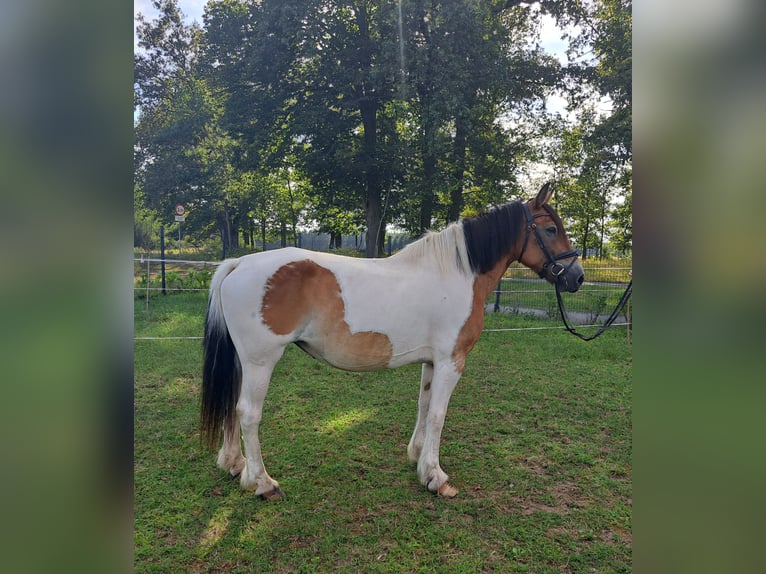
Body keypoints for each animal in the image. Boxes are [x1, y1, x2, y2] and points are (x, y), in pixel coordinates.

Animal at [201, 184, 584, 500]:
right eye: (551, 229)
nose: (577, 277)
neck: (458, 274)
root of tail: (239, 263)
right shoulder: (452, 361)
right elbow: (439, 415)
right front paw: (436, 477)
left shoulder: (432, 361)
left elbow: (424, 406)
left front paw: (418, 459)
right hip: (260, 362)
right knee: (248, 413)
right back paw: (262, 482)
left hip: (242, 362)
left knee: (232, 406)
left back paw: (236, 466)